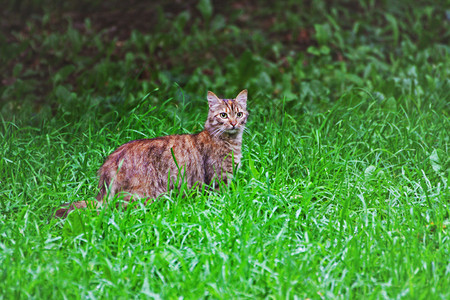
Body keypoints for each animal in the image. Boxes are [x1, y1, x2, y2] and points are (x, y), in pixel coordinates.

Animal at [55, 89, 250, 218]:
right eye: (223, 115)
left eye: (239, 114)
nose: (234, 123)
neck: (231, 142)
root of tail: (110, 163)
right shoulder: (218, 180)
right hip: (140, 196)